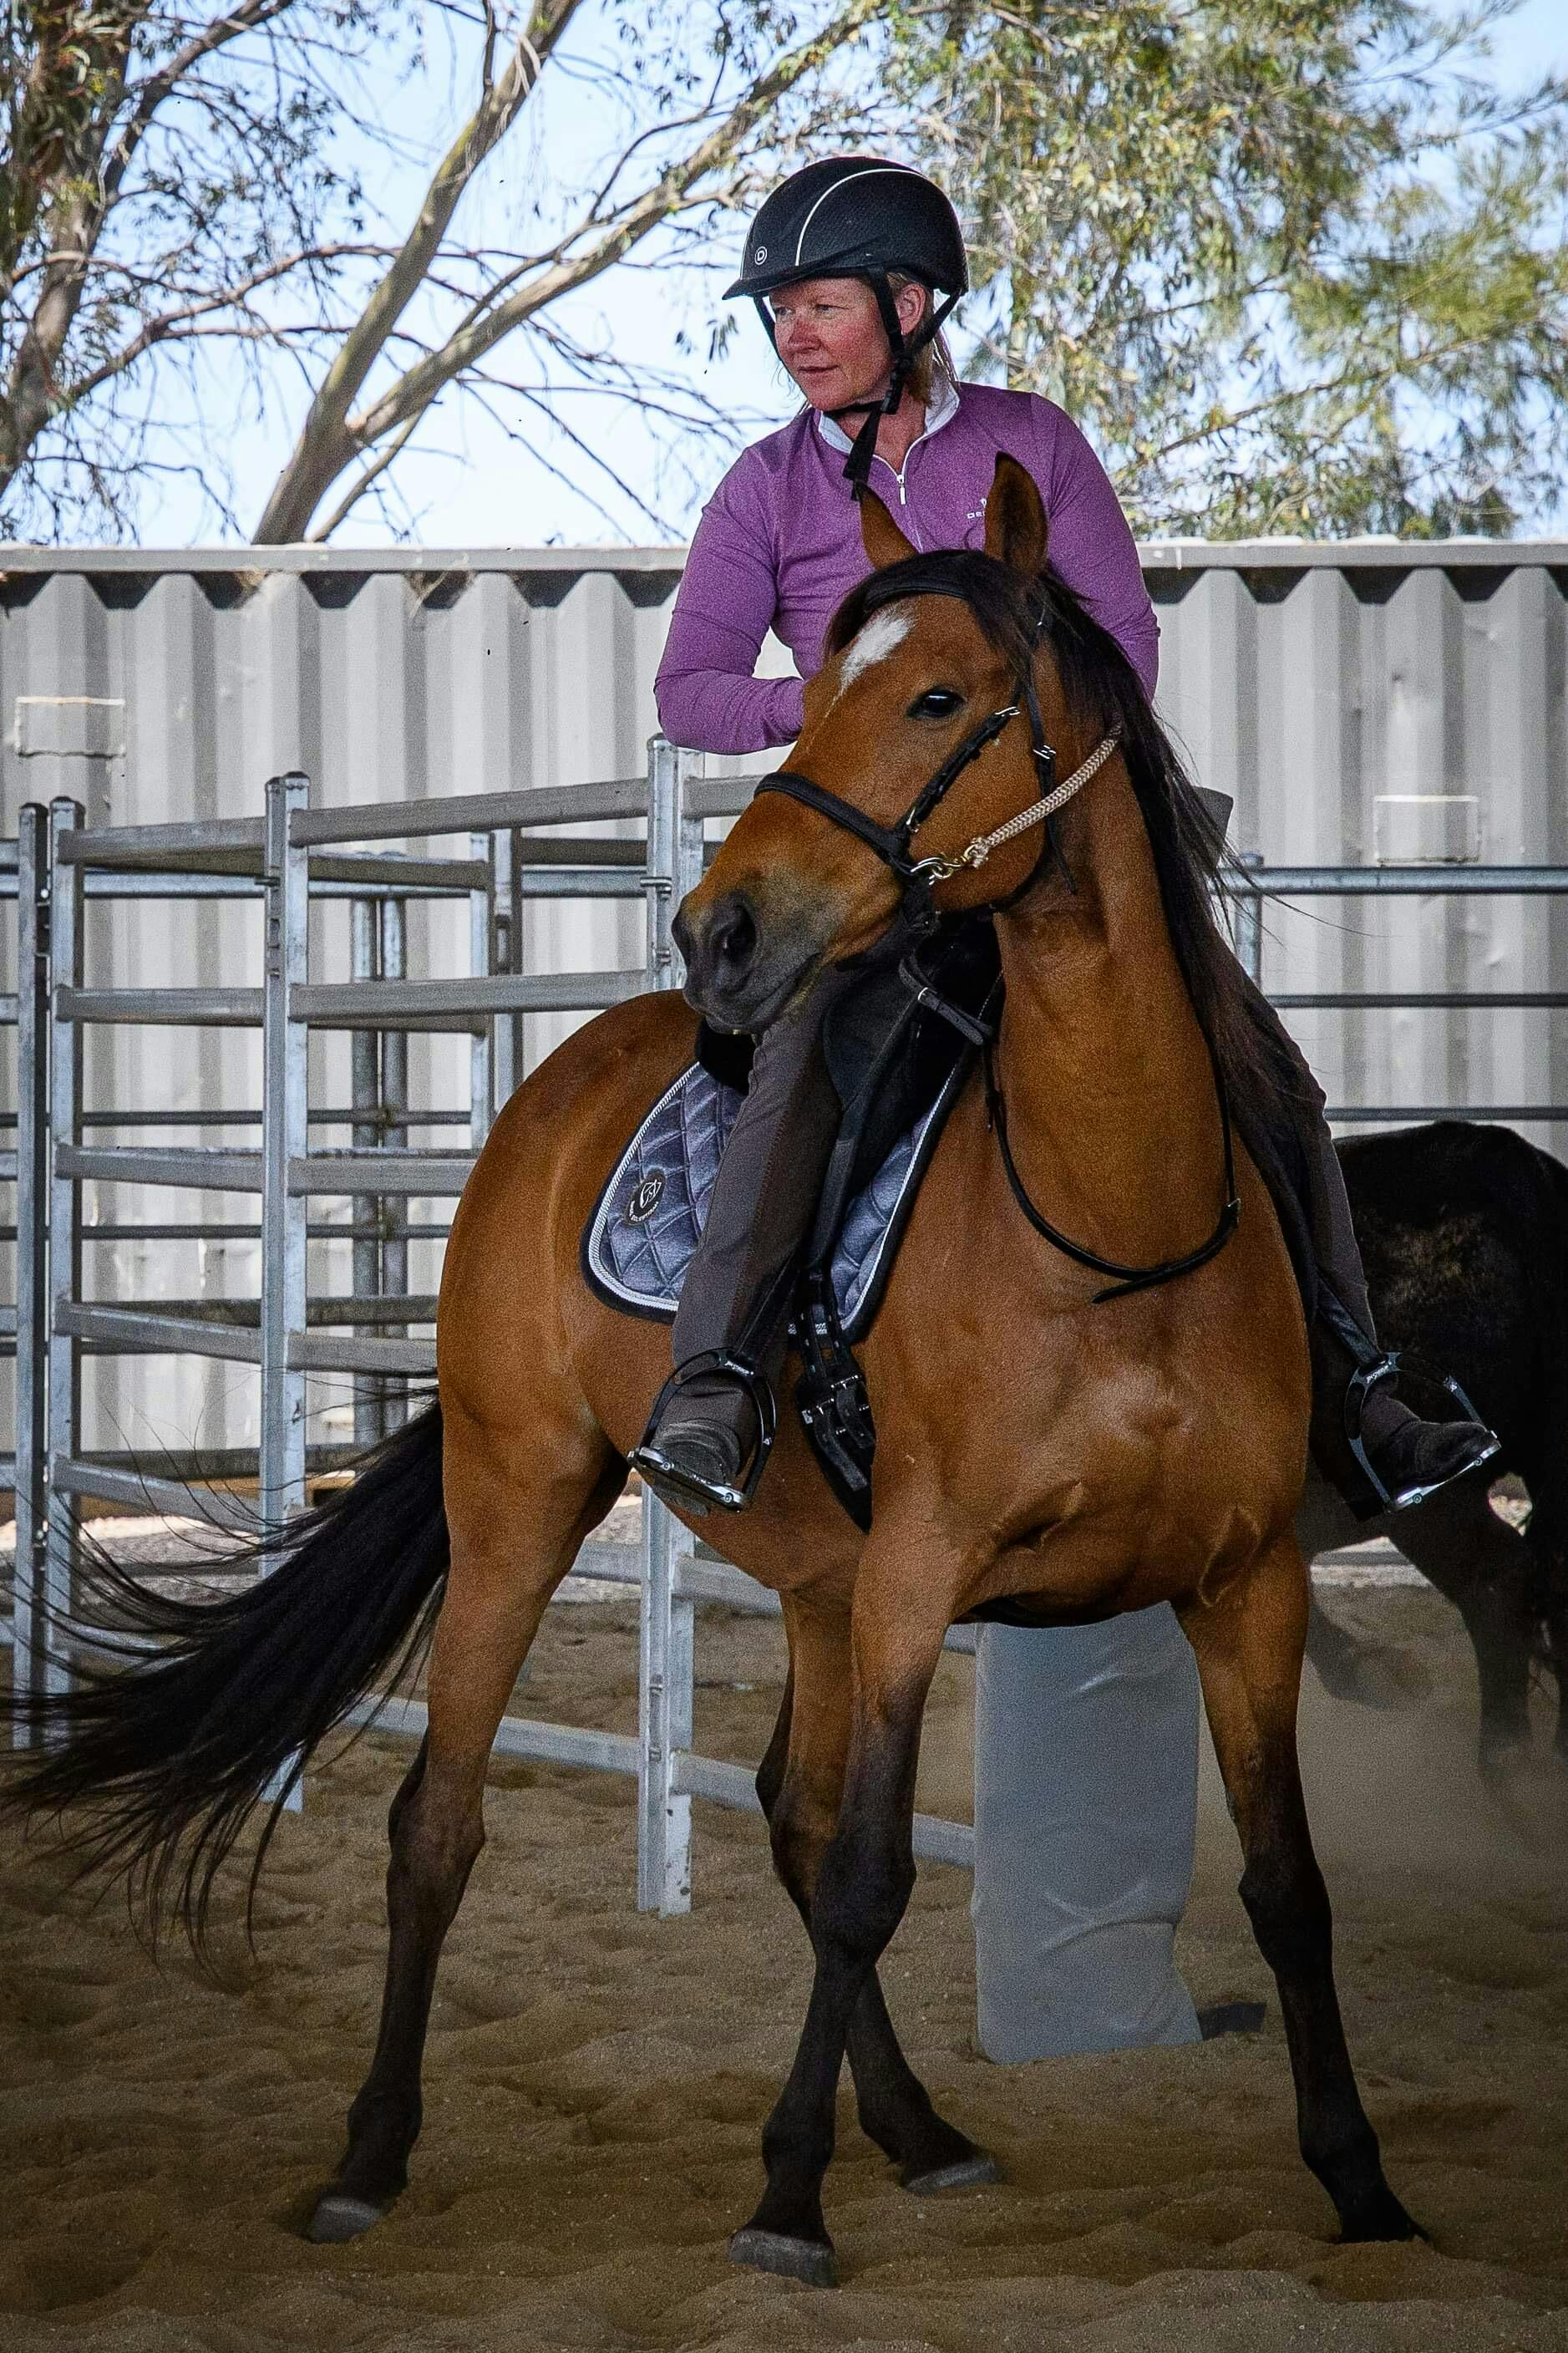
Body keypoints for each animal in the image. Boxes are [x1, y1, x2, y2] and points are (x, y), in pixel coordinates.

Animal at [1, 455, 1421, 2281]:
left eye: (940, 696)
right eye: (806, 693)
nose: (723, 928)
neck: (1111, 1221)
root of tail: (557, 1088)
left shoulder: (1241, 1589)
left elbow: (1283, 1889)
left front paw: (1360, 2184)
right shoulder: (917, 1579)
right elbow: (880, 1876)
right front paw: (785, 2201)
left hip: (811, 1576)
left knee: (786, 1817)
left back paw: (918, 2128)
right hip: (521, 1498)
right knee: (441, 1820)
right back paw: (370, 2156)